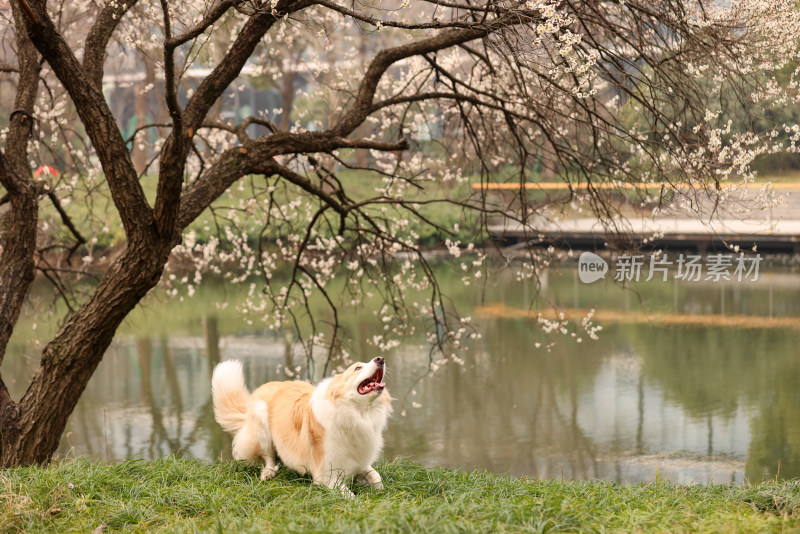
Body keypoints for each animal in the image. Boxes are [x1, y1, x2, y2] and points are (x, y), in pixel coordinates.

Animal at [211, 358, 390, 496]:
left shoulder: (360, 463)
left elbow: (377, 478)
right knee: (268, 457)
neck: (357, 413)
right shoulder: (327, 476)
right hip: (262, 421)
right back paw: (269, 472)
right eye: (357, 368)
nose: (380, 359)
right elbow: (350, 496)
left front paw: (379, 489)